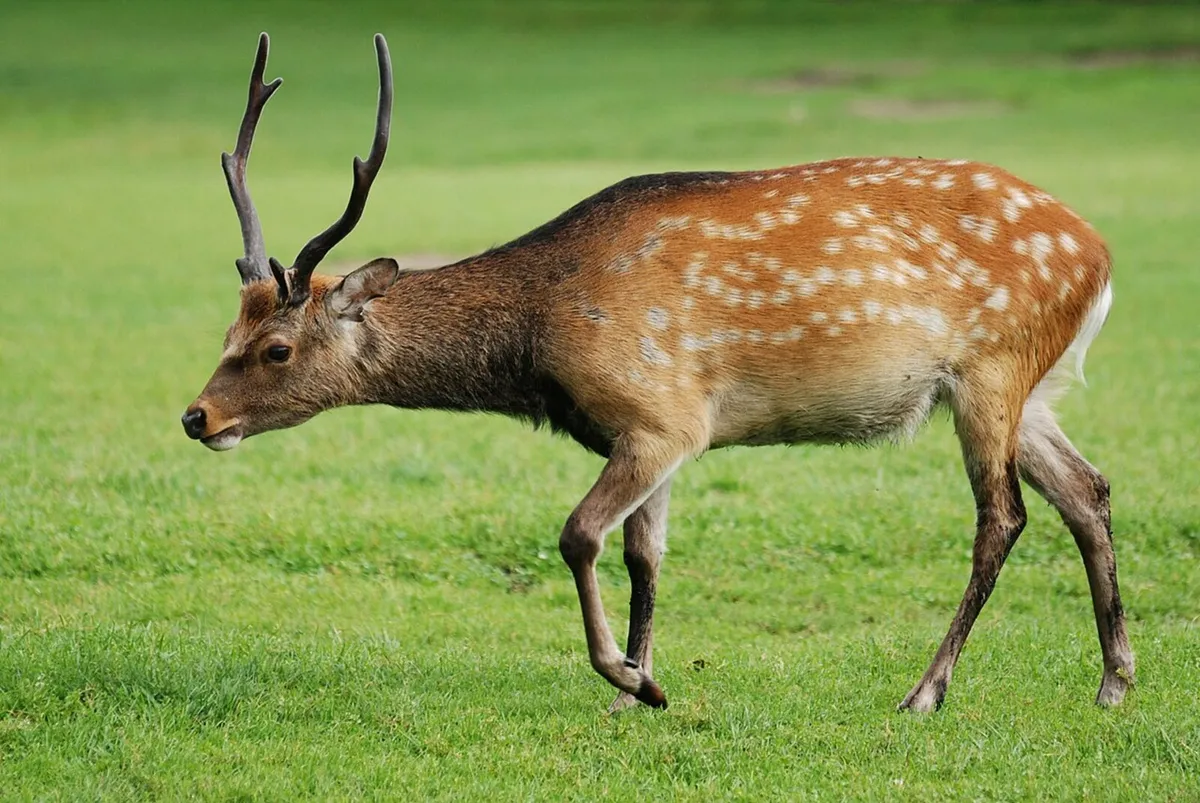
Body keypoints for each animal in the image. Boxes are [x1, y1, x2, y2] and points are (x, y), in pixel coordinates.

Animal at [182, 32, 1134, 714]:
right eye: (229, 326)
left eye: (276, 349)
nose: (196, 416)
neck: (540, 340)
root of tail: (1098, 255)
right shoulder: (655, 433)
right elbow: (646, 552)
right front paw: (639, 686)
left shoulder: (661, 411)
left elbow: (578, 534)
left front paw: (628, 677)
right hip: (1029, 386)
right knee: (1087, 489)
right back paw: (1114, 680)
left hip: (991, 367)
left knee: (1002, 516)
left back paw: (926, 690)